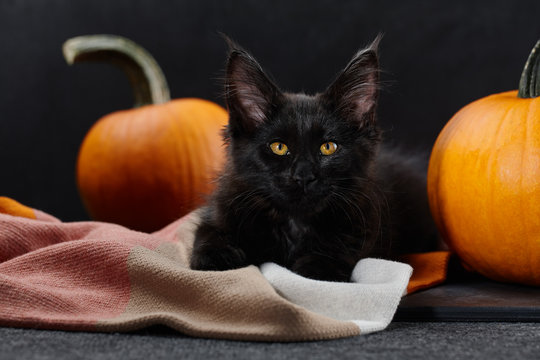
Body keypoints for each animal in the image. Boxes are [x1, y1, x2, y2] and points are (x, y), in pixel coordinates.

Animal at [190, 37, 438, 282]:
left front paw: (312, 268)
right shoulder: (219, 212)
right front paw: (218, 258)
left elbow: (324, 262)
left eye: (328, 147)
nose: (304, 176)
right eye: (279, 147)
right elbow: (207, 235)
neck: (295, 223)